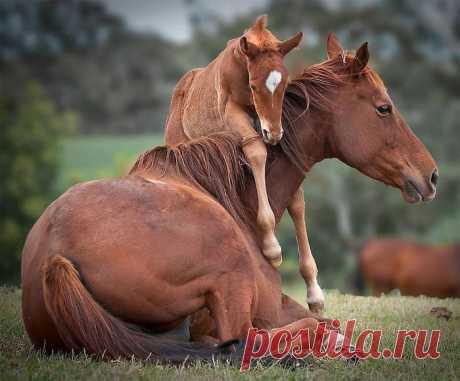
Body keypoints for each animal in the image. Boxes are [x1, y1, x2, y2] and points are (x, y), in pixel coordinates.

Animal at [164, 14, 302, 268]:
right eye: (254, 85)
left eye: (285, 84)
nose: (274, 133)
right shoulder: (232, 112)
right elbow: (256, 151)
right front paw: (272, 247)